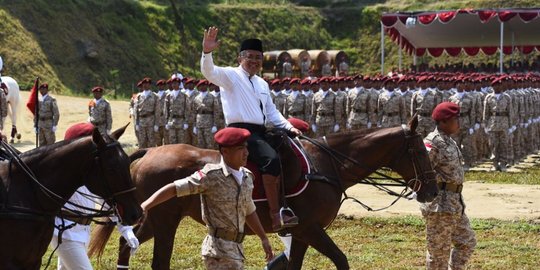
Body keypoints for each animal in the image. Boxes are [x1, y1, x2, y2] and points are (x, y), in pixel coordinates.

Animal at [92, 118, 438, 270]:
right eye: (421, 151)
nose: (433, 189)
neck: (326, 165)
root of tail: (149, 151)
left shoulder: (301, 233)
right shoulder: (310, 228)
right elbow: (341, 260)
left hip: (153, 218)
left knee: (126, 245)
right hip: (165, 221)